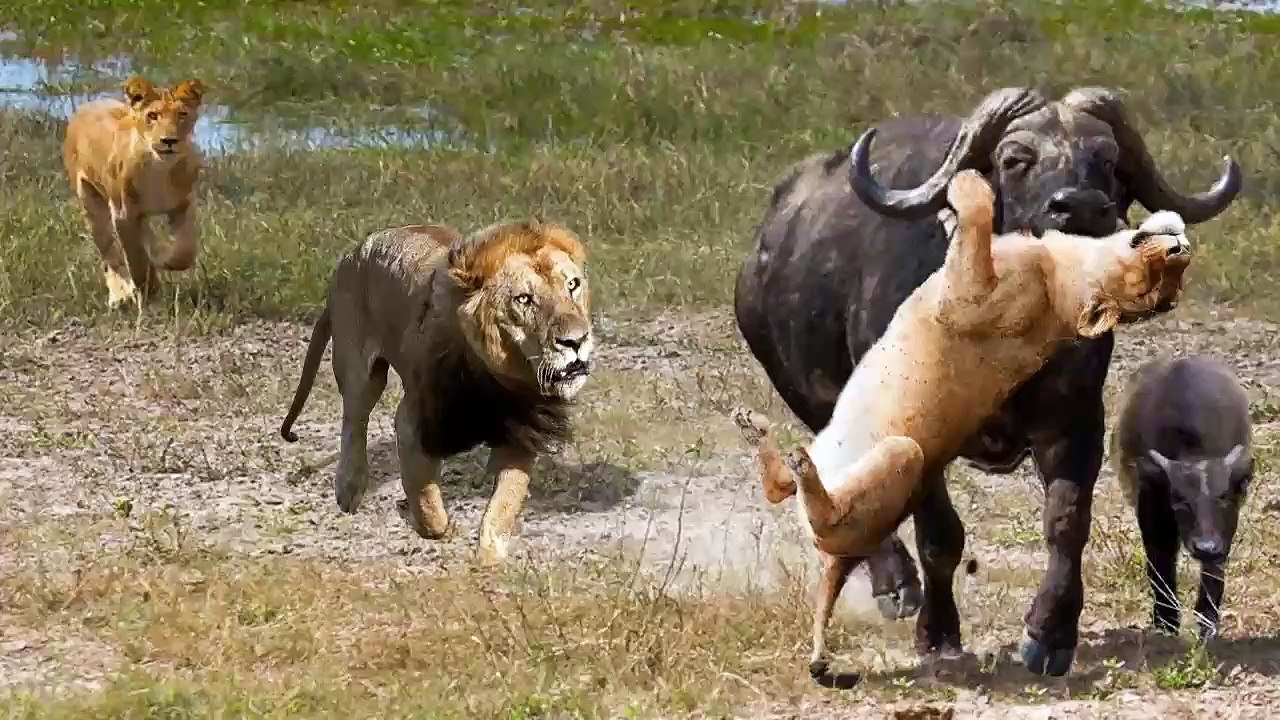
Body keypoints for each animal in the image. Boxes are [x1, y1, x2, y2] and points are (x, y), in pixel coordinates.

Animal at [62, 75, 206, 308]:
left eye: (182, 114)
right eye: (153, 116)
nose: (169, 141)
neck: (160, 168)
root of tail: (87, 105)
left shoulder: (184, 204)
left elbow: (184, 252)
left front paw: (162, 260)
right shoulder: (123, 214)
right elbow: (135, 257)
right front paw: (147, 287)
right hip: (90, 202)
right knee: (110, 255)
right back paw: (120, 296)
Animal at [278, 219, 594, 565]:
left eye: (573, 285)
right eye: (523, 299)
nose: (577, 341)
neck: (495, 379)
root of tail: (350, 255)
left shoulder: (522, 432)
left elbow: (505, 503)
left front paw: (490, 555)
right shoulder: (415, 421)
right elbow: (427, 501)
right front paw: (425, 521)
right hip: (359, 369)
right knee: (354, 420)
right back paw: (349, 487)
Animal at [732, 169, 1193, 688]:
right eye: (1162, 282)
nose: (1180, 250)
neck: (1063, 278)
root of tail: (845, 560)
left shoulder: (967, 296)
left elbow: (977, 222)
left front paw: (967, 186)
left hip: (902, 457)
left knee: (817, 506)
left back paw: (798, 462)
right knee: (779, 488)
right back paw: (758, 431)